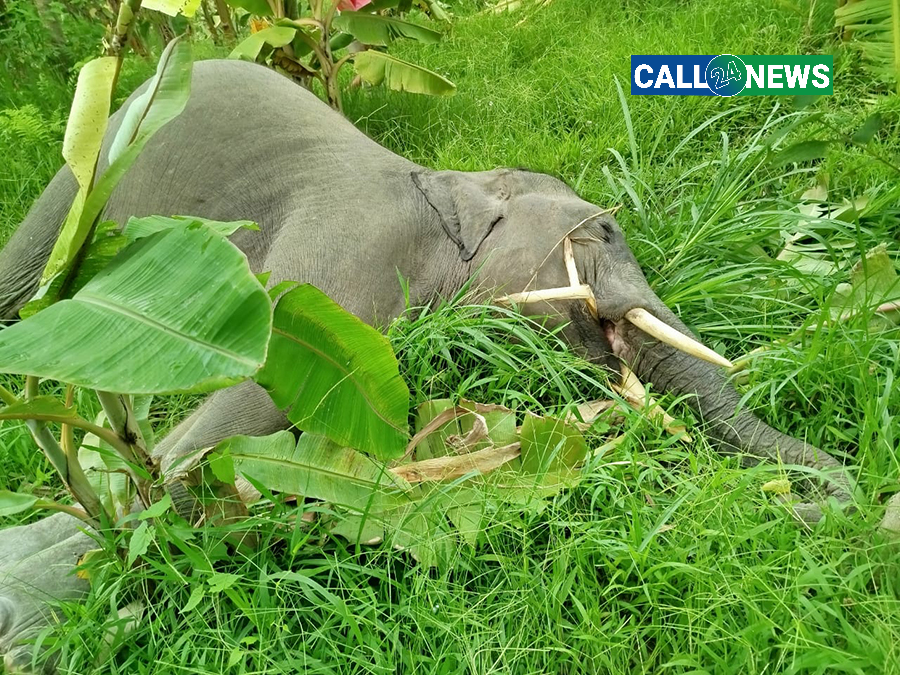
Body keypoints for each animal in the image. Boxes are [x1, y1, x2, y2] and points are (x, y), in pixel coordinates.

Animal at [0, 60, 860, 672]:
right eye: (608, 231)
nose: (803, 501)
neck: (454, 186)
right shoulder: (341, 261)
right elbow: (236, 406)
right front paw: (32, 618)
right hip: (84, 173)